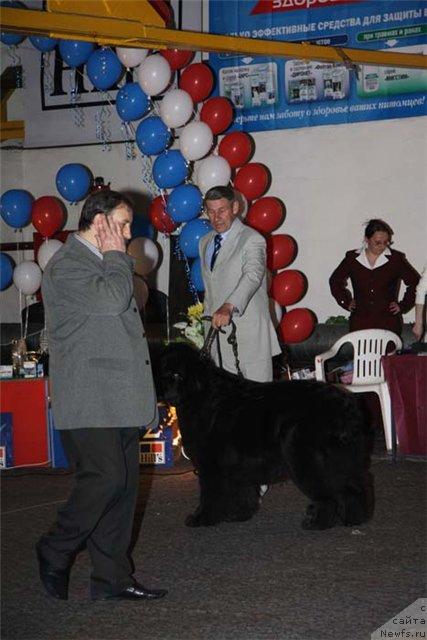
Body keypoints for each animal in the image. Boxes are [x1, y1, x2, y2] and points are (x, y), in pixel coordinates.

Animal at [158, 344, 374, 528]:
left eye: (177, 374)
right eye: (164, 373)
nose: (165, 394)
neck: (200, 392)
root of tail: (347, 405)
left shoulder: (210, 463)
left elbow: (209, 494)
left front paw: (200, 518)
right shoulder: (238, 462)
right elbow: (242, 491)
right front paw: (238, 515)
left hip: (308, 460)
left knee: (328, 495)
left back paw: (317, 523)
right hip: (344, 458)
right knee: (353, 488)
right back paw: (354, 519)